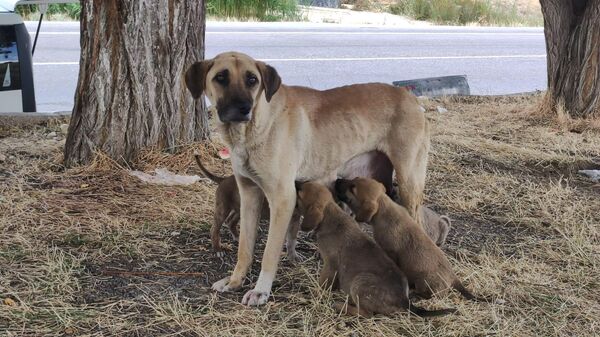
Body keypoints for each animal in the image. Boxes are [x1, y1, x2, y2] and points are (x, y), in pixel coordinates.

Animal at [185, 50, 428, 304]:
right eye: (220, 77)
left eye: (252, 79)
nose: (243, 108)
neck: (254, 129)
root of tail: (410, 97)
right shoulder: (249, 195)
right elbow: (245, 247)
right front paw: (234, 281)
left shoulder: (282, 199)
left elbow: (270, 252)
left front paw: (261, 290)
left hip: (409, 183)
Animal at [298, 180, 458, 316]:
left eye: (300, 192)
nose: (295, 181)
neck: (332, 216)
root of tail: (405, 301)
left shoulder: (330, 265)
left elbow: (323, 282)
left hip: (359, 282)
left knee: (366, 314)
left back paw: (340, 306)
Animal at [336, 177, 490, 300]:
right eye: (354, 179)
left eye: (353, 188)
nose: (338, 179)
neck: (386, 209)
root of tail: (454, 278)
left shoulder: (391, 253)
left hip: (425, 281)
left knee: (431, 295)